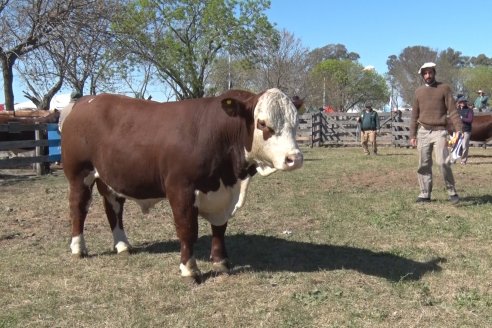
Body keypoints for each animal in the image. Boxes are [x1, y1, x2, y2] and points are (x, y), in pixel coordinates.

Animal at [61, 89, 304, 282]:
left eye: (296, 123)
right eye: (262, 123)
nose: (295, 158)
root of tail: (85, 101)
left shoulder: (222, 194)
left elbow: (219, 228)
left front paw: (221, 262)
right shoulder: (181, 190)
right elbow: (187, 230)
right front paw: (190, 270)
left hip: (110, 177)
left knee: (113, 208)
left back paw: (122, 245)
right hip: (79, 174)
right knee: (78, 208)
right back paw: (78, 248)